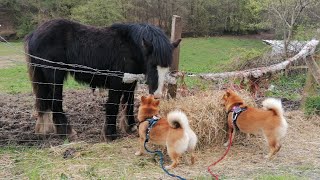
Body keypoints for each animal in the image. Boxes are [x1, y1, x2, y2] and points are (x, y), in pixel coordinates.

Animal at [24, 19, 180, 141]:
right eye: (152, 65)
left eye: (167, 67)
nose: (157, 95)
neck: (130, 46)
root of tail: (34, 34)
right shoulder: (116, 81)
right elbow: (113, 104)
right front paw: (110, 134)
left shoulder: (130, 81)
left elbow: (128, 102)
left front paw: (130, 127)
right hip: (55, 75)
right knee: (55, 101)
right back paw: (67, 133)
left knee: (44, 101)